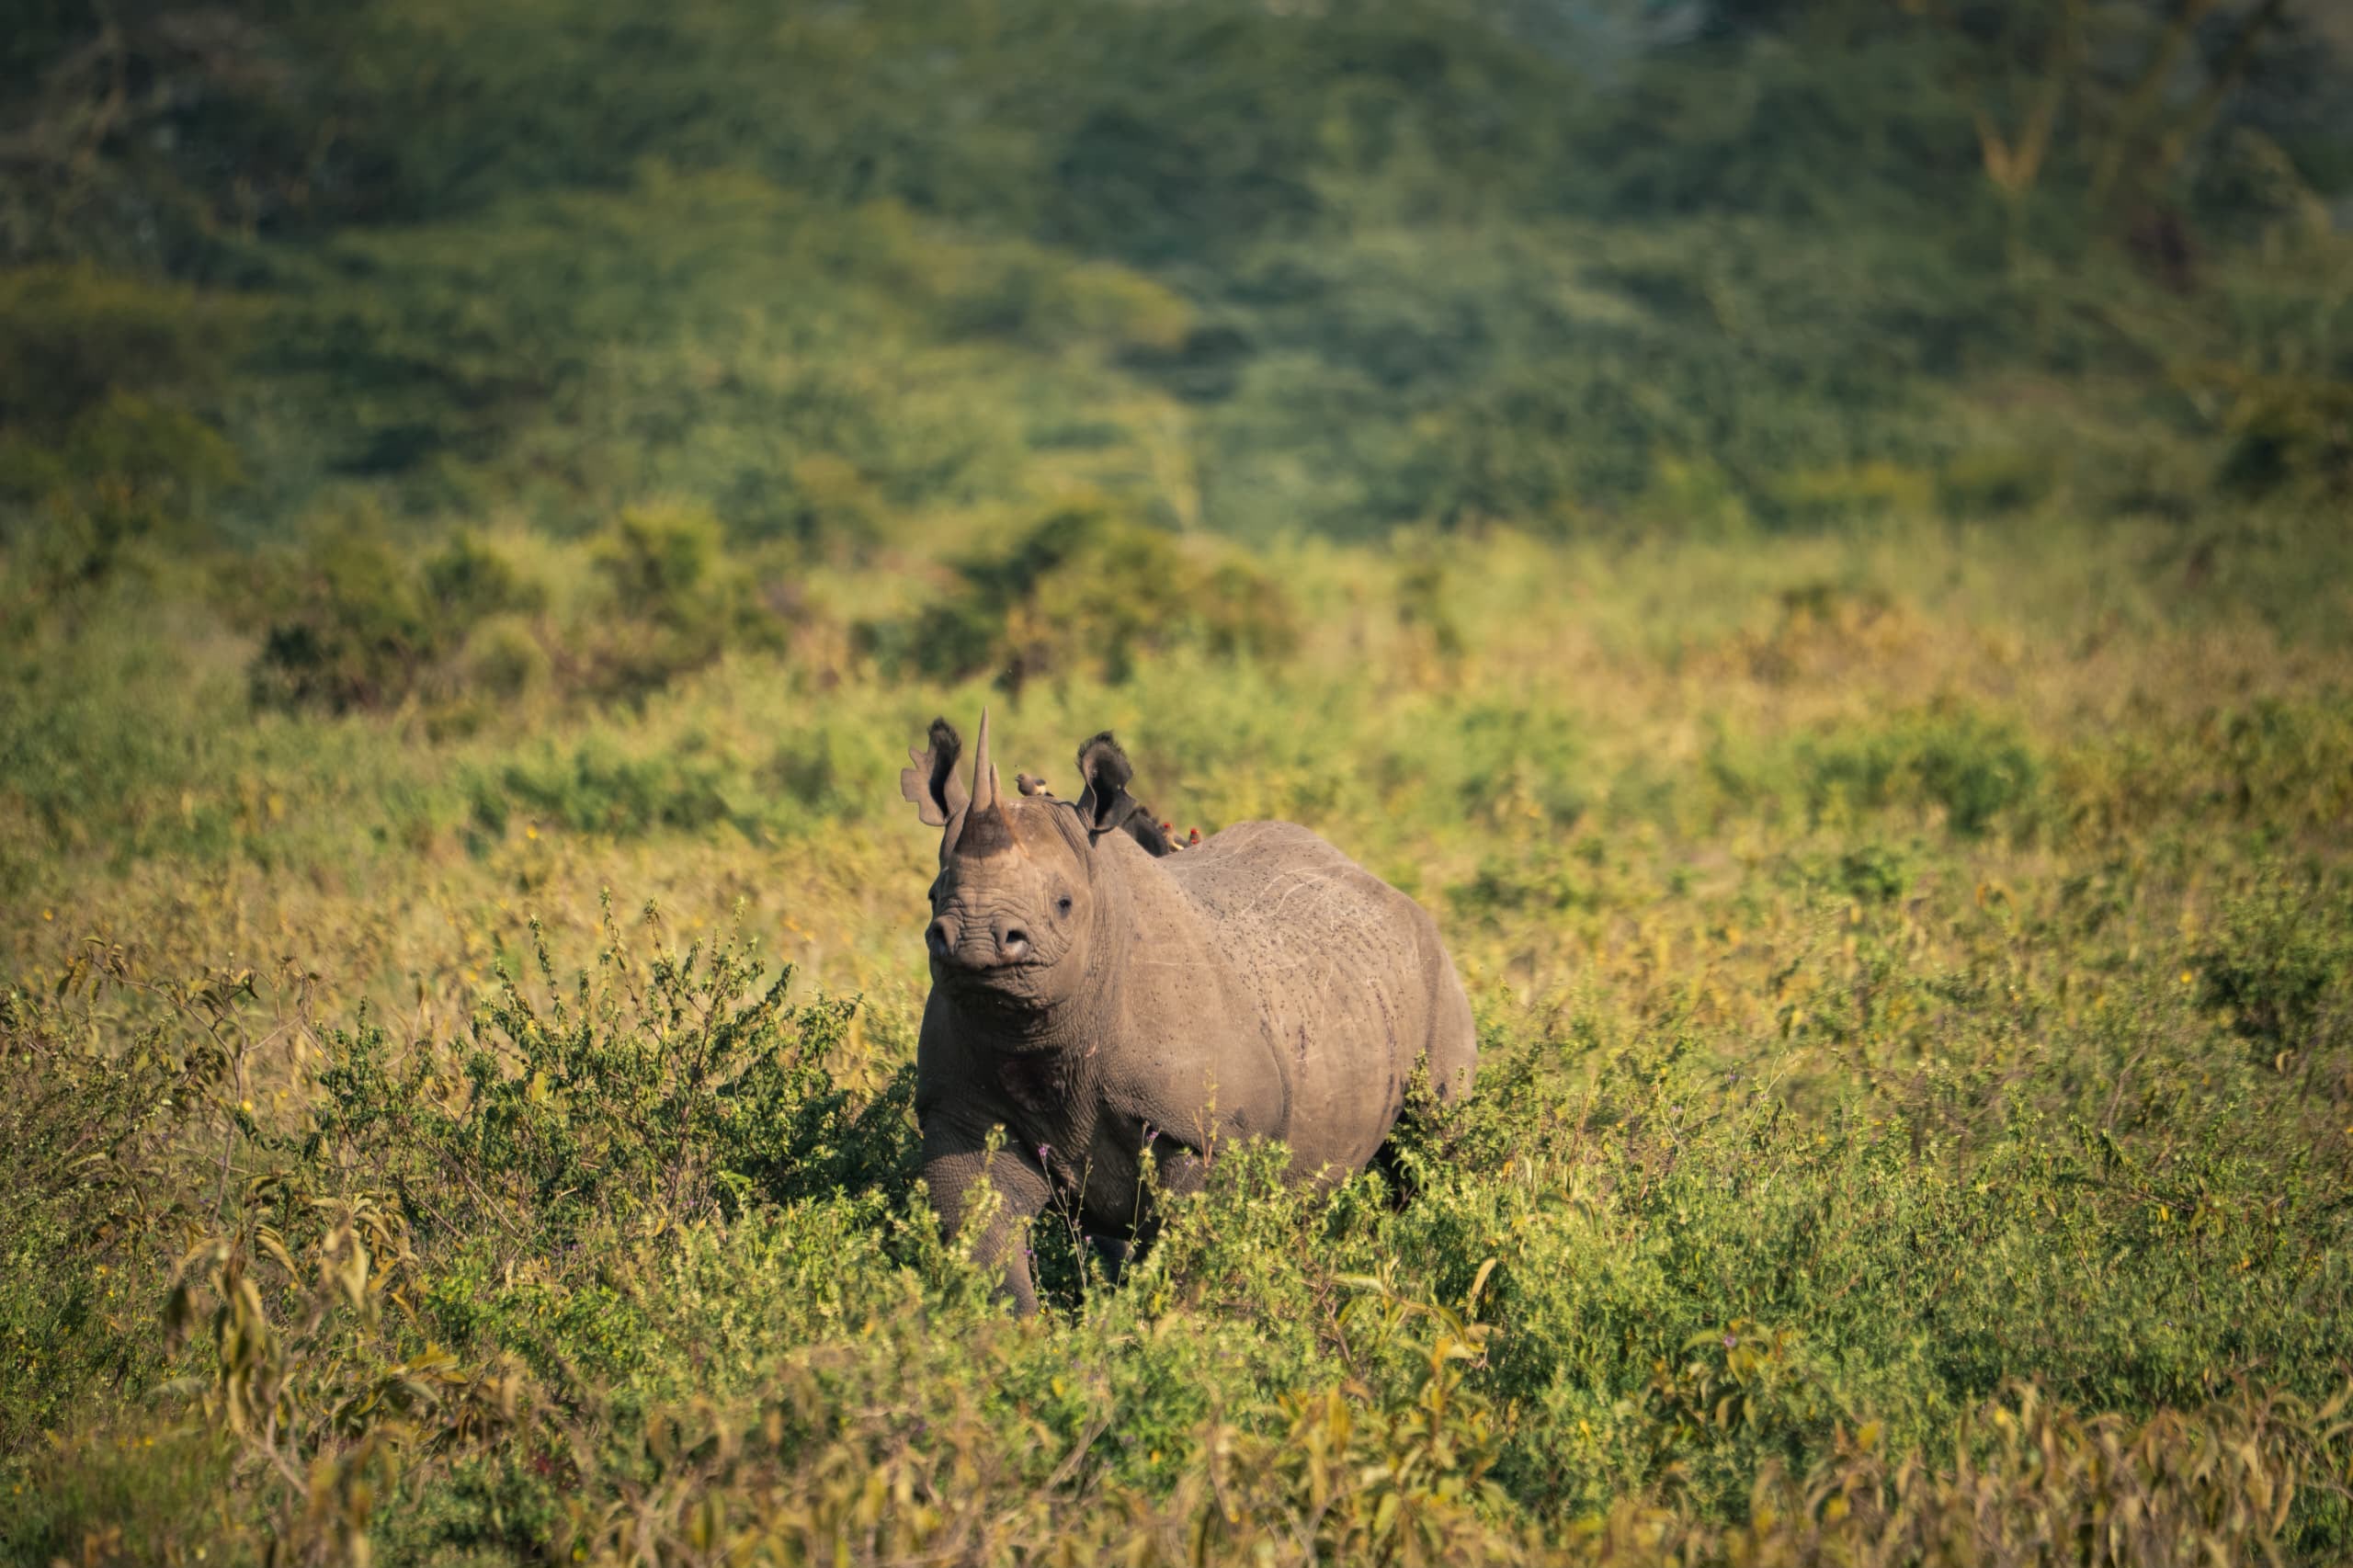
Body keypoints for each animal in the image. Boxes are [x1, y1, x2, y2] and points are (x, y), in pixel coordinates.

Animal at [901, 710, 1477, 1312]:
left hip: (1432, 976)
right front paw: (1000, 1332)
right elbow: (982, 1240)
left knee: (1427, 1148)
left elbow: (1182, 1257)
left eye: (1063, 904)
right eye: (933, 896)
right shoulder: (958, 1110)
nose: (972, 940)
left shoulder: (1205, 1133)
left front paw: (1160, 1327)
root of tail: (1390, 891)